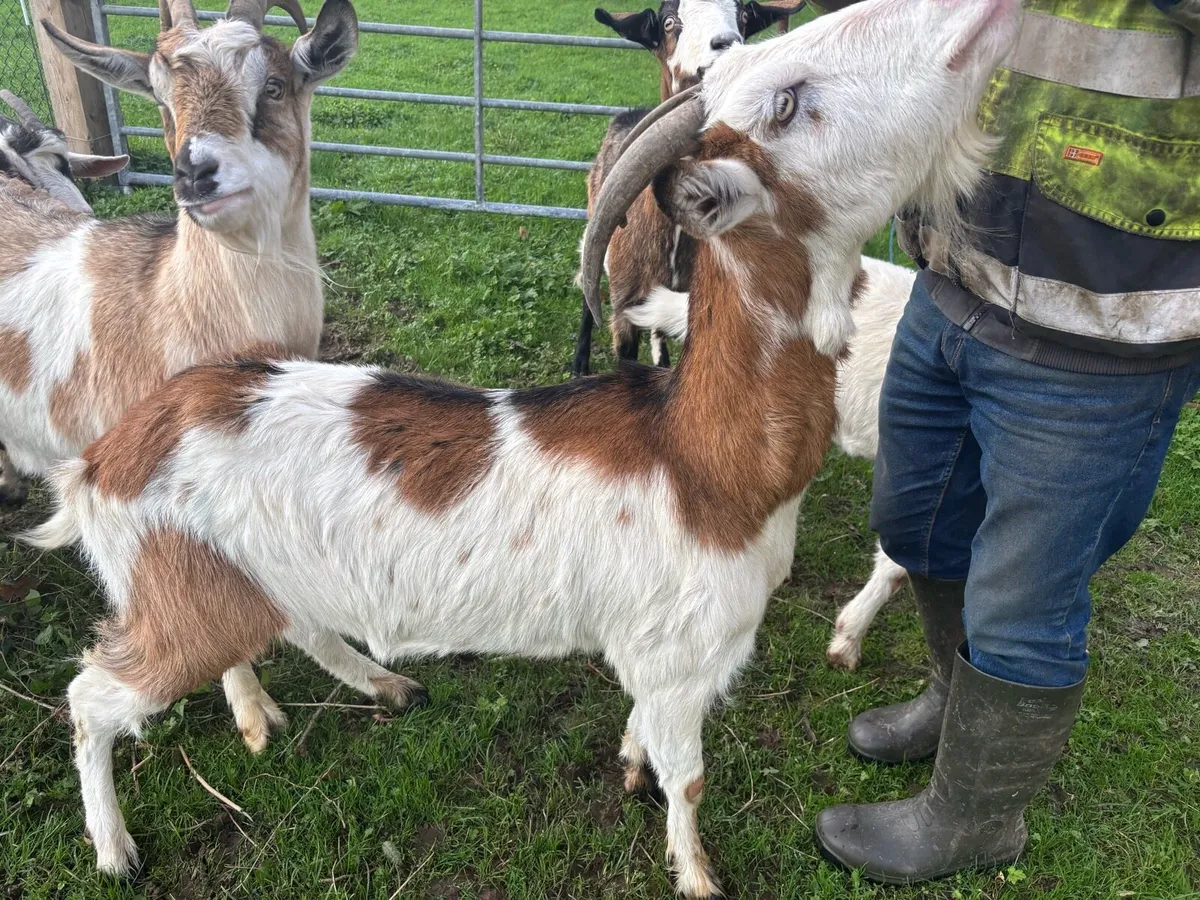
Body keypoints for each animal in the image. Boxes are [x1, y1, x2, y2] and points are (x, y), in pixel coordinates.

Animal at [0, 0, 414, 755]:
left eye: (274, 85)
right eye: (162, 102)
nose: (195, 173)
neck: (172, 306)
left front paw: (374, 677)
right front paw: (252, 710)